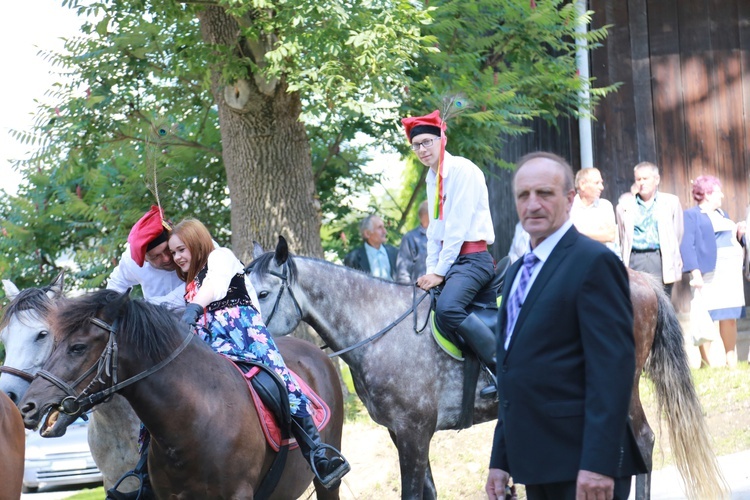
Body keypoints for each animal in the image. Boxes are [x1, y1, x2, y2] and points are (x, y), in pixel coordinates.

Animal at [251, 236, 728, 498]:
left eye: (261, 293)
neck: (378, 326)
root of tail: (639, 278)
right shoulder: (404, 433)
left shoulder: (413, 432)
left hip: (620, 385)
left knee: (642, 442)